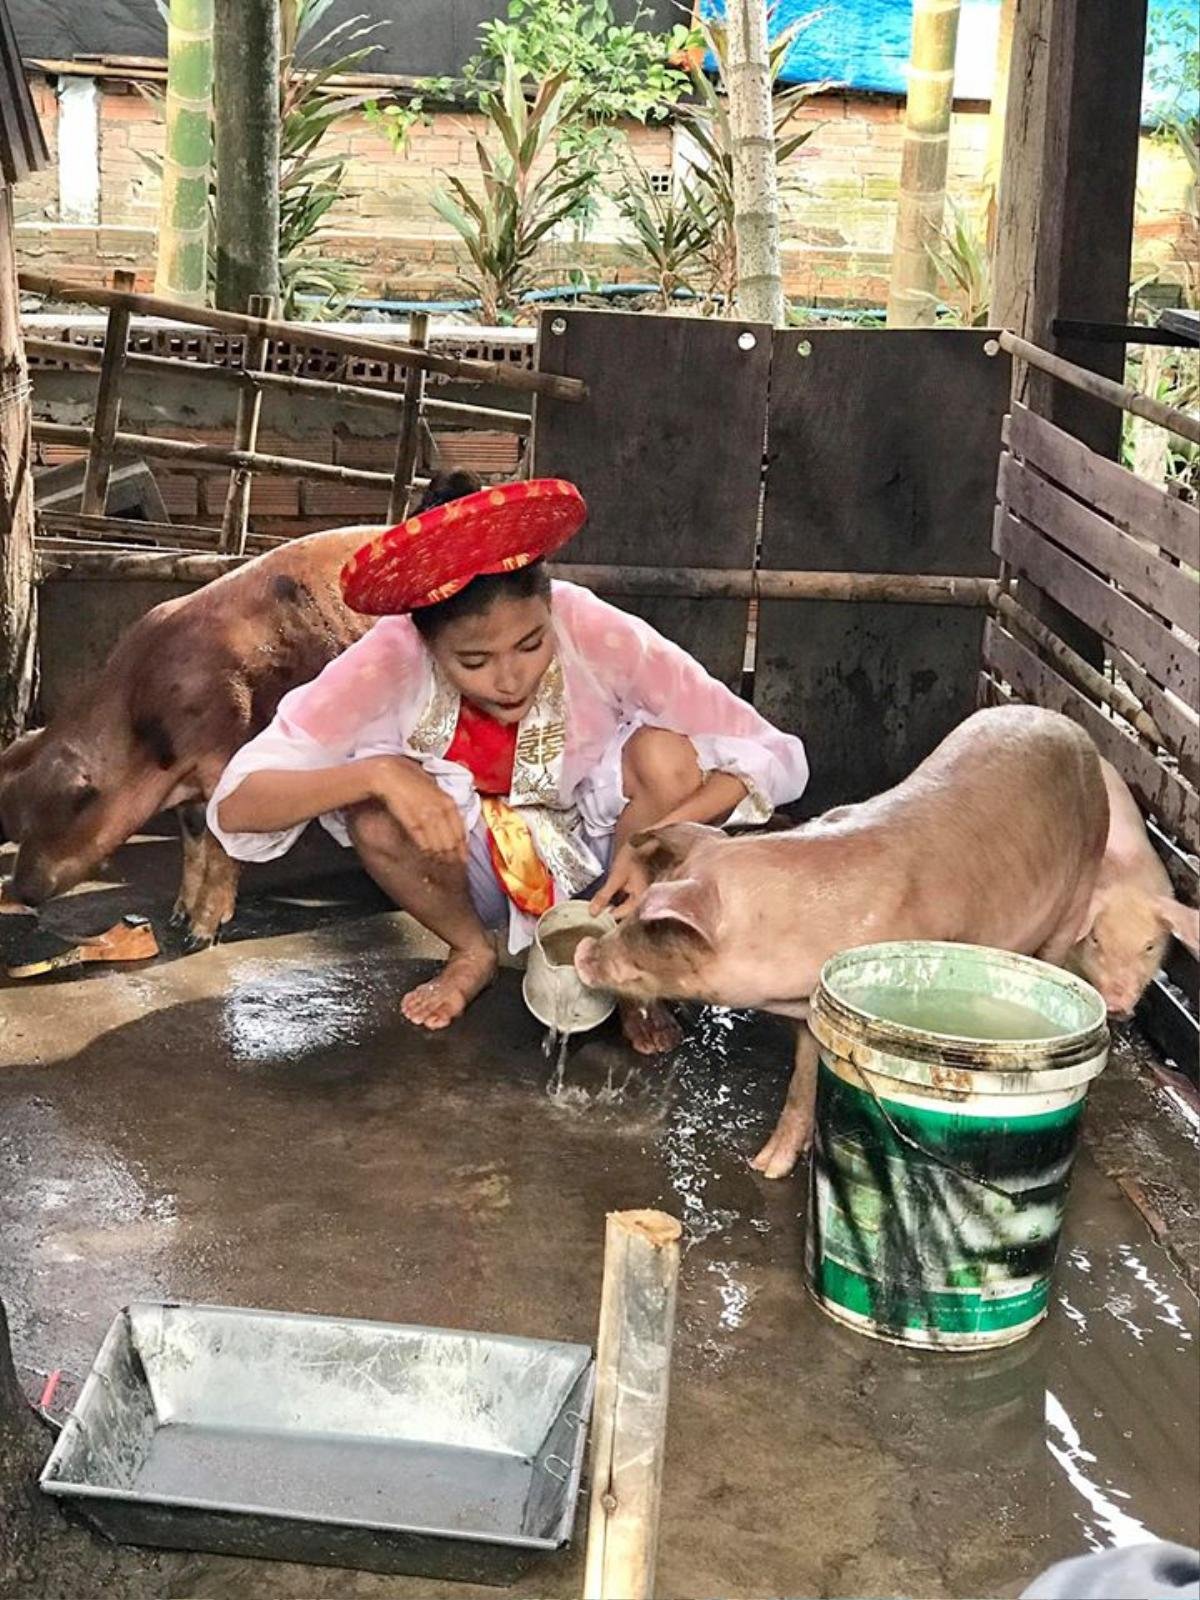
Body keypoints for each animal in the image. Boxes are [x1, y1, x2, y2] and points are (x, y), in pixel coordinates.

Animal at [0, 524, 380, 947]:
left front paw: (198, 937)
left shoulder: (225, 757)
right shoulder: (189, 787)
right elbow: (193, 843)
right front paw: (176, 918)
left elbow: (220, 848)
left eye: (60, 815)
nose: (21, 892)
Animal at [579, 707, 1113, 1184]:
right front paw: (765, 1167)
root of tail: (1073, 728)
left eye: (658, 930)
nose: (584, 953)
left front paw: (770, 1168)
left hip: (1082, 882)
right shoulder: (811, 1010)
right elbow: (803, 1081)